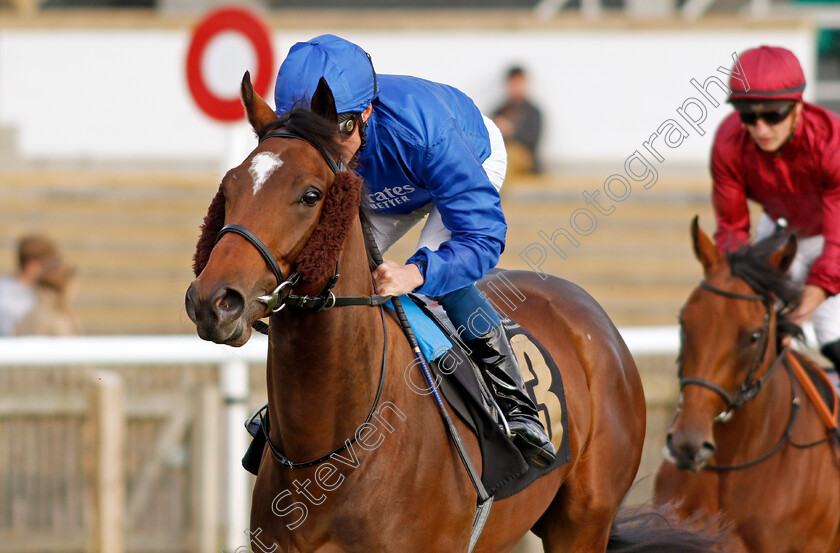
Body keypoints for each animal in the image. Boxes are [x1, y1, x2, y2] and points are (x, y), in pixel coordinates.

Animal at [187, 73, 724, 552]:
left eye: (310, 195)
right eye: (229, 188)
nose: (213, 301)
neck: (329, 448)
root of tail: (589, 313)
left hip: (583, 522)